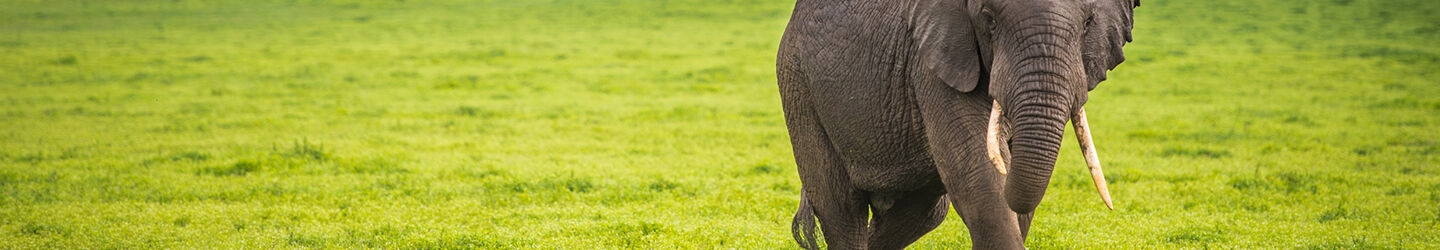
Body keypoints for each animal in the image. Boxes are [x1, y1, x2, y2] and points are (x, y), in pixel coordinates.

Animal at [777, 0, 1134, 248]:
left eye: (1089, 22)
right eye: (989, 19)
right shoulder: (936, 57)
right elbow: (979, 179)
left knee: (920, 213)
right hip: (797, 82)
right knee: (841, 208)